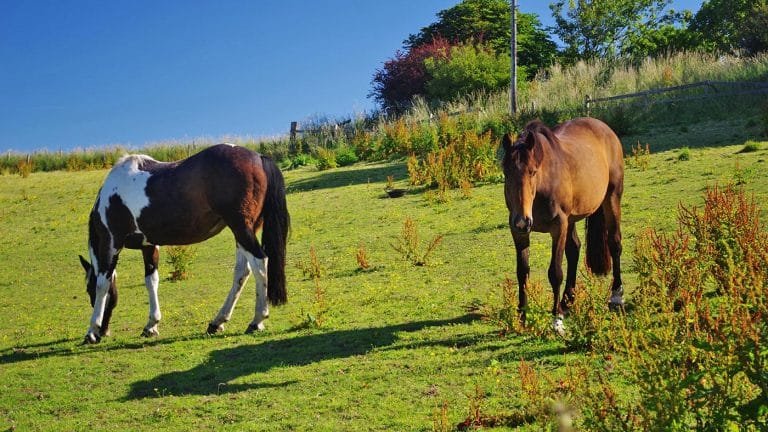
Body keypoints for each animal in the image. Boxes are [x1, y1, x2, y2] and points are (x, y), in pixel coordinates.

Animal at [78, 143, 290, 344]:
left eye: (88, 289)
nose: (104, 332)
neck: (112, 196)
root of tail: (258, 157)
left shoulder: (111, 243)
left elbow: (103, 284)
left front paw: (91, 331)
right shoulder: (149, 246)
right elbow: (151, 281)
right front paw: (151, 325)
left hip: (241, 229)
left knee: (260, 263)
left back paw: (257, 320)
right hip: (243, 232)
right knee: (242, 272)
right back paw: (217, 322)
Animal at [501, 117, 624, 333]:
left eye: (532, 172)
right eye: (506, 174)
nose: (523, 221)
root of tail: (604, 127)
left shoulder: (558, 227)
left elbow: (555, 272)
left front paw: (556, 320)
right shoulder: (519, 232)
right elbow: (522, 271)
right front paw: (522, 316)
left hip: (612, 198)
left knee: (614, 243)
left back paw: (616, 294)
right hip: (572, 219)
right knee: (574, 249)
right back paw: (568, 300)